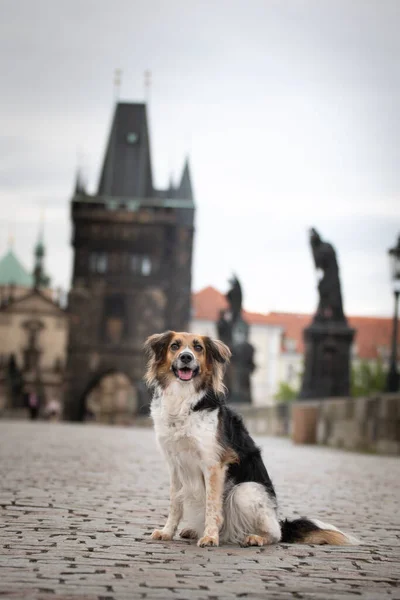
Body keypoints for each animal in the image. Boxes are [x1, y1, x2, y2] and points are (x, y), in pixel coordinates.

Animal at [145, 332, 360, 548]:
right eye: (175, 346)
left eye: (198, 348)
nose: (186, 357)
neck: (183, 397)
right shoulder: (175, 465)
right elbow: (175, 504)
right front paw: (167, 532)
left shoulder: (213, 464)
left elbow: (212, 506)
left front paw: (210, 537)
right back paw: (193, 531)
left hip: (246, 490)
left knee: (275, 534)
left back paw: (255, 537)